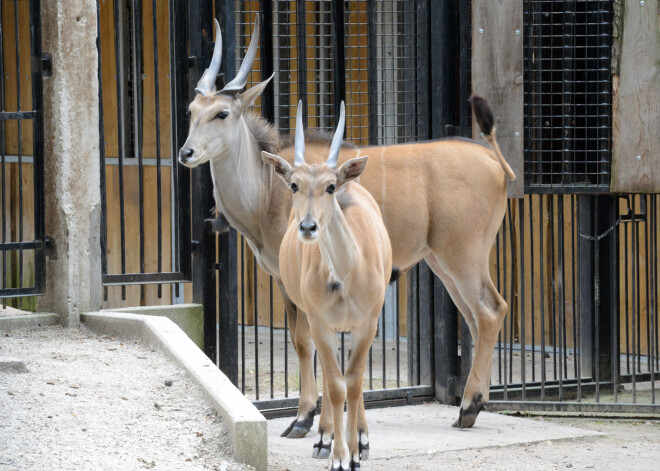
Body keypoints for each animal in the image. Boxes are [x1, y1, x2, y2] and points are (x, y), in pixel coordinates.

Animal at [262, 101, 392, 470]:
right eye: (294, 184)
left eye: (330, 186)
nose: (308, 227)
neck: (343, 277)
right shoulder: (320, 322)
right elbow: (335, 386)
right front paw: (338, 455)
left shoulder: (367, 324)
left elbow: (354, 382)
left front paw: (355, 452)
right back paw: (324, 438)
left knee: (354, 380)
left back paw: (360, 439)